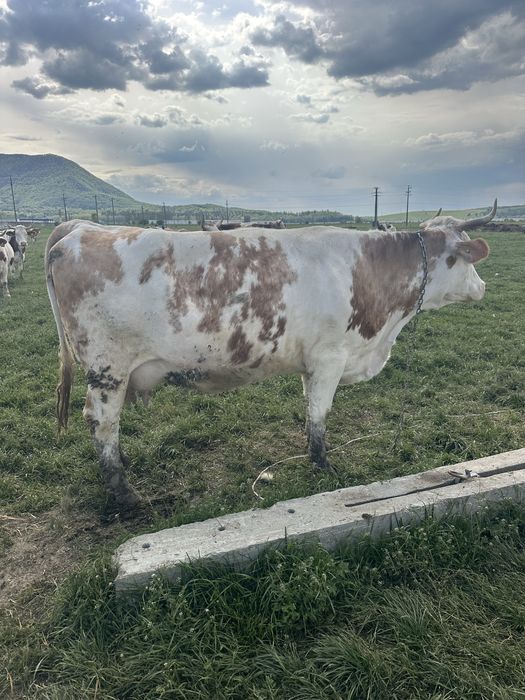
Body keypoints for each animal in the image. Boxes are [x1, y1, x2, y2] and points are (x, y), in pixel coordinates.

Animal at [46, 201, 495, 508]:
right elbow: (320, 414)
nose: (483, 288)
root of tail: (78, 231)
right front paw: (324, 466)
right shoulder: (330, 358)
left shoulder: (311, 363)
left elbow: (310, 412)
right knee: (102, 422)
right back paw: (124, 491)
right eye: (463, 258)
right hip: (108, 369)